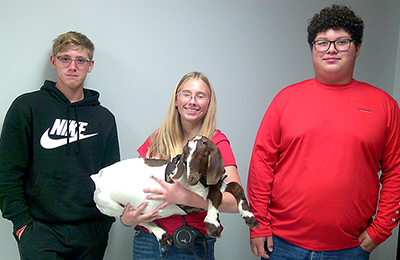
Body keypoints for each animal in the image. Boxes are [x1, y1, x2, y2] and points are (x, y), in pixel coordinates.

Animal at [90, 135, 258, 245]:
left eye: (204, 155)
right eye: (185, 157)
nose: (191, 178)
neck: (202, 182)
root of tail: (98, 177)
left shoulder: (214, 182)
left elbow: (236, 186)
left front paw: (249, 217)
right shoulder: (191, 195)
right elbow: (215, 194)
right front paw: (212, 224)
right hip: (110, 206)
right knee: (134, 217)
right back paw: (161, 234)